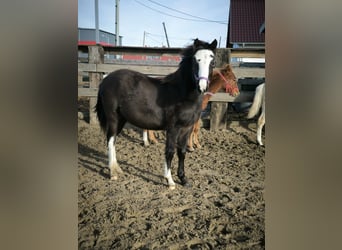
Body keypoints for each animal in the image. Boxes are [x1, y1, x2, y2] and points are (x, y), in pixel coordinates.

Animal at [95, 38, 216, 188]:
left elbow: (182, 152)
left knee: (113, 140)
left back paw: (118, 169)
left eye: (212, 61)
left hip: (121, 119)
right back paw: (113, 173)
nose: (202, 87)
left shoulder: (186, 128)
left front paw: (183, 179)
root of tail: (106, 80)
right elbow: (170, 152)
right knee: (110, 140)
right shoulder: (173, 128)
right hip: (113, 118)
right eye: (195, 60)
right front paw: (170, 181)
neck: (182, 94)